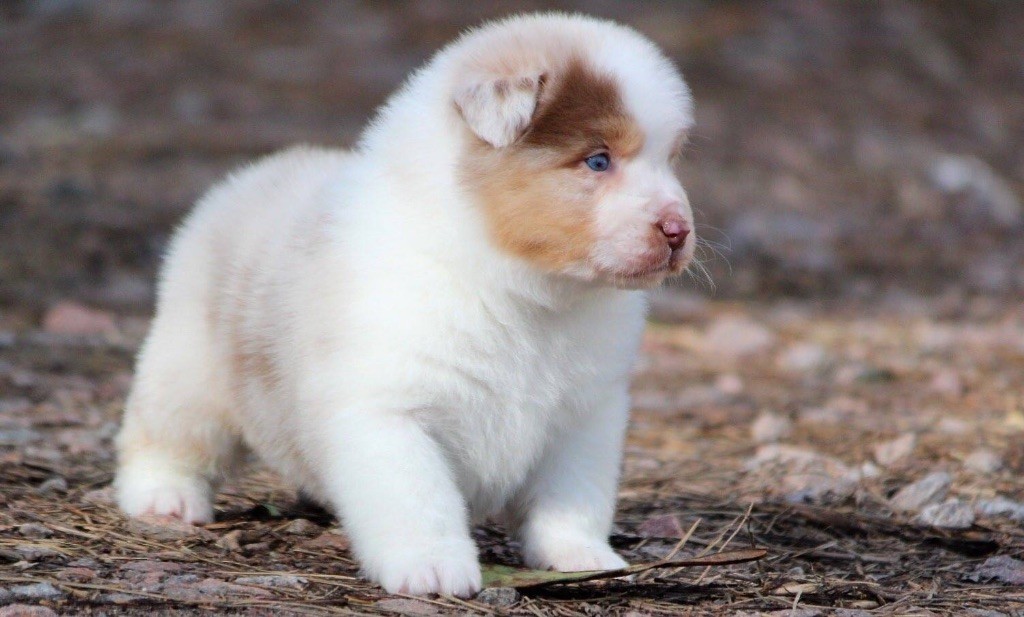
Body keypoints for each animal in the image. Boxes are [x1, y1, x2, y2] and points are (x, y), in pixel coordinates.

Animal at [115, 13, 695, 597]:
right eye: (598, 161)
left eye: (671, 160)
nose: (678, 230)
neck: (528, 292)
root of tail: (250, 176)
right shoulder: (389, 412)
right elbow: (420, 500)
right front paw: (433, 568)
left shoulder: (586, 417)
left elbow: (572, 499)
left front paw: (582, 556)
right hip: (189, 373)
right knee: (162, 439)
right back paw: (165, 500)